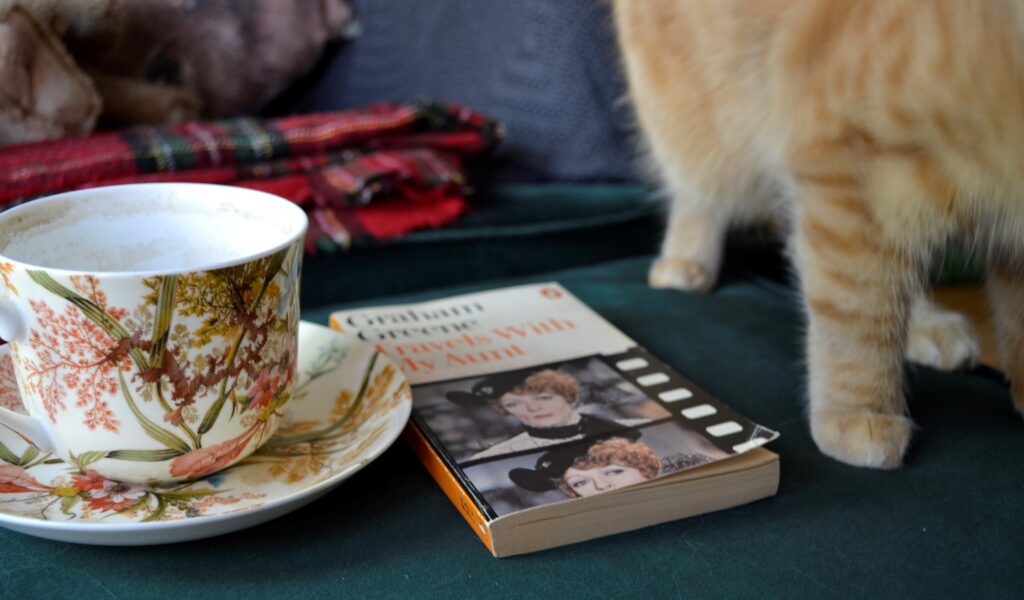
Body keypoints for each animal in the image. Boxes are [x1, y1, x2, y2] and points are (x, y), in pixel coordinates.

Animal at [614, 0, 1024, 466]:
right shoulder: (848, 162)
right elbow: (856, 309)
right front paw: (860, 413)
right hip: (692, 108)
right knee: (697, 188)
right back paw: (685, 263)